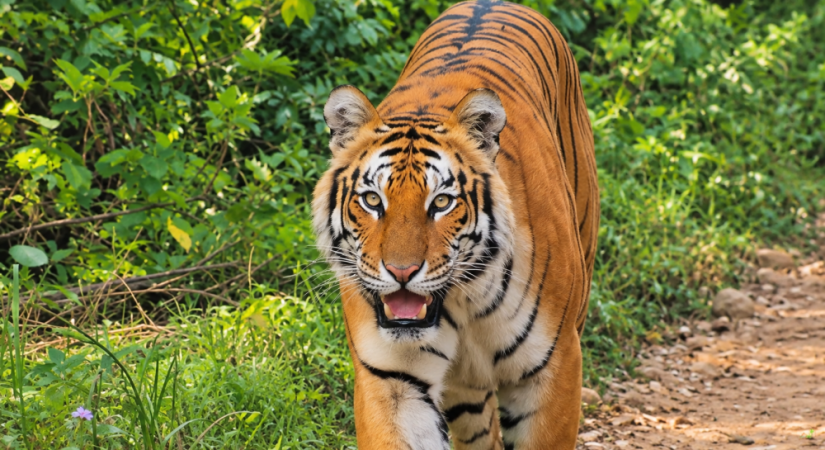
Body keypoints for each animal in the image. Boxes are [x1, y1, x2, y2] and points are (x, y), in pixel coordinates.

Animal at [311, 0, 599, 448]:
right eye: (373, 200)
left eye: (442, 202)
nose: (402, 272)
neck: (462, 301)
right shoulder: (392, 378)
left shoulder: (552, 366)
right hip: (467, 394)